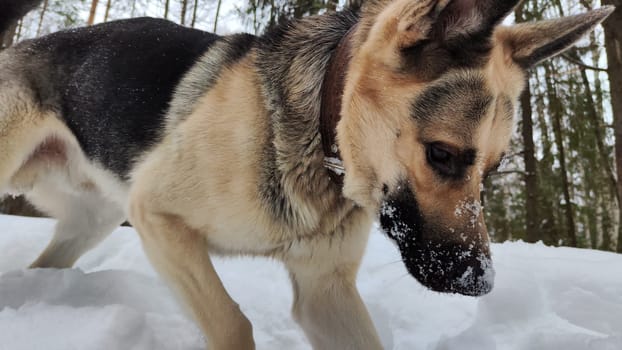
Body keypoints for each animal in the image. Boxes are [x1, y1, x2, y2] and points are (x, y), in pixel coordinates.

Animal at [0, 0, 616, 348]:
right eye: (442, 154)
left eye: (491, 170)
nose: (480, 284)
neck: (321, 134)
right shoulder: (158, 218)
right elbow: (234, 325)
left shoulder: (326, 293)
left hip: (94, 222)